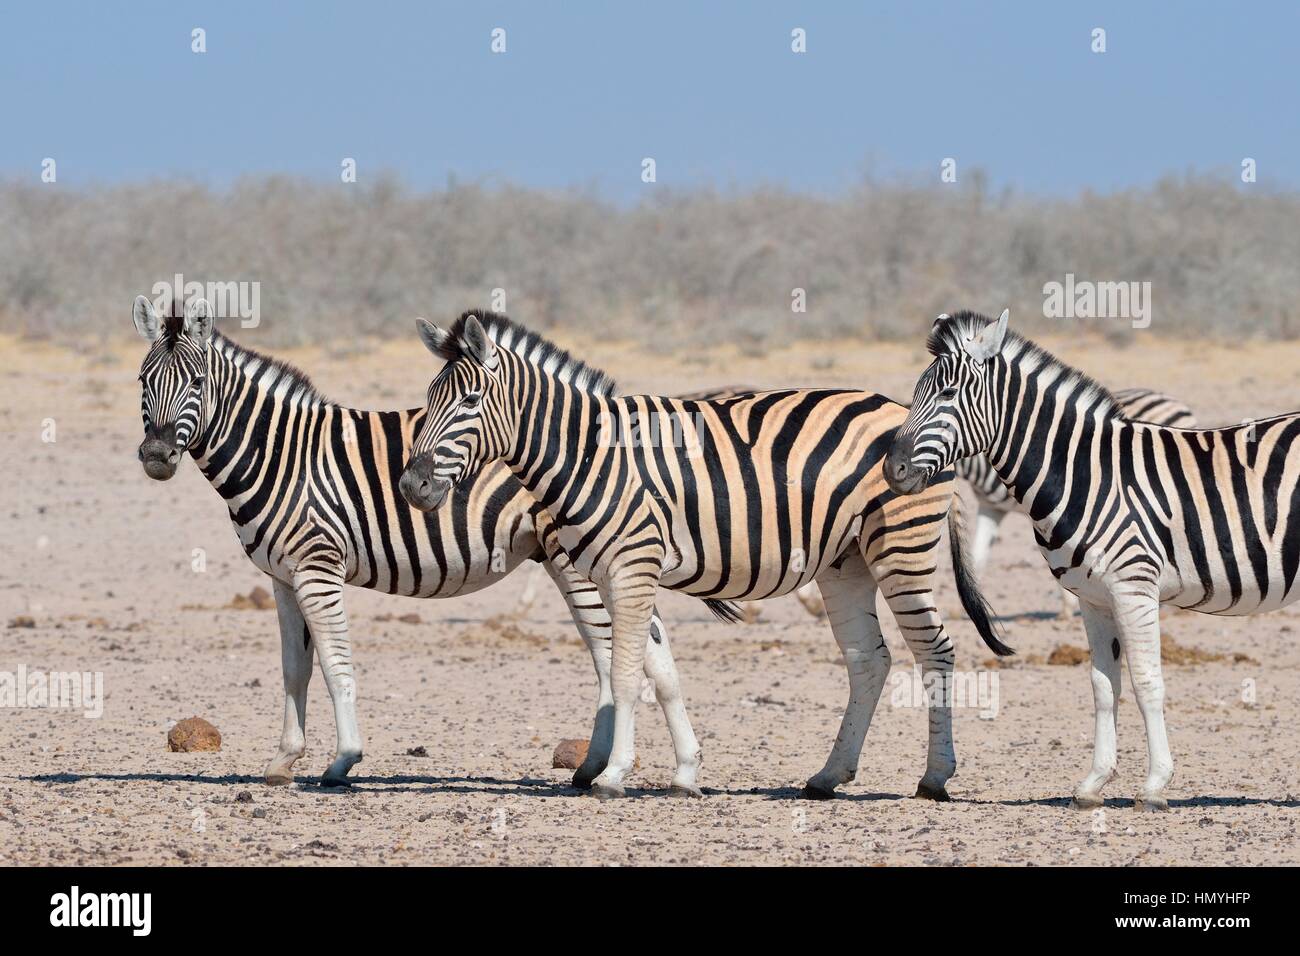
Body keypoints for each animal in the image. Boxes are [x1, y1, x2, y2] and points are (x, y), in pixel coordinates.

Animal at [129, 297, 712, 790]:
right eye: (142, 379)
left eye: (197, 381)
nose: (156, 456)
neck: (280, 455)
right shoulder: (282, 577)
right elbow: (295, 669)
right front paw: (282, 761)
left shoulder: (317, 568)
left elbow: (335, 665)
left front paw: (343, 760)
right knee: (642, 649)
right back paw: (633, 767)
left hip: (580, 561)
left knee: (613, 658)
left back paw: (602, 769)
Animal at [400, 312, 1008, 801]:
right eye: (426, 402)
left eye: (470, 402)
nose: (411, 485)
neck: (590, 455)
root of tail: (903, 412)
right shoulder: (616, 576)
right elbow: (661, 673)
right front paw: (686, 773)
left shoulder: (632, 568)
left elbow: (625, 674)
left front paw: (612, 776)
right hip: (847, 562)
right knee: (869, 660)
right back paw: (827, 776)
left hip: (901, 549)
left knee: (936, 652)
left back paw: (934, 779)